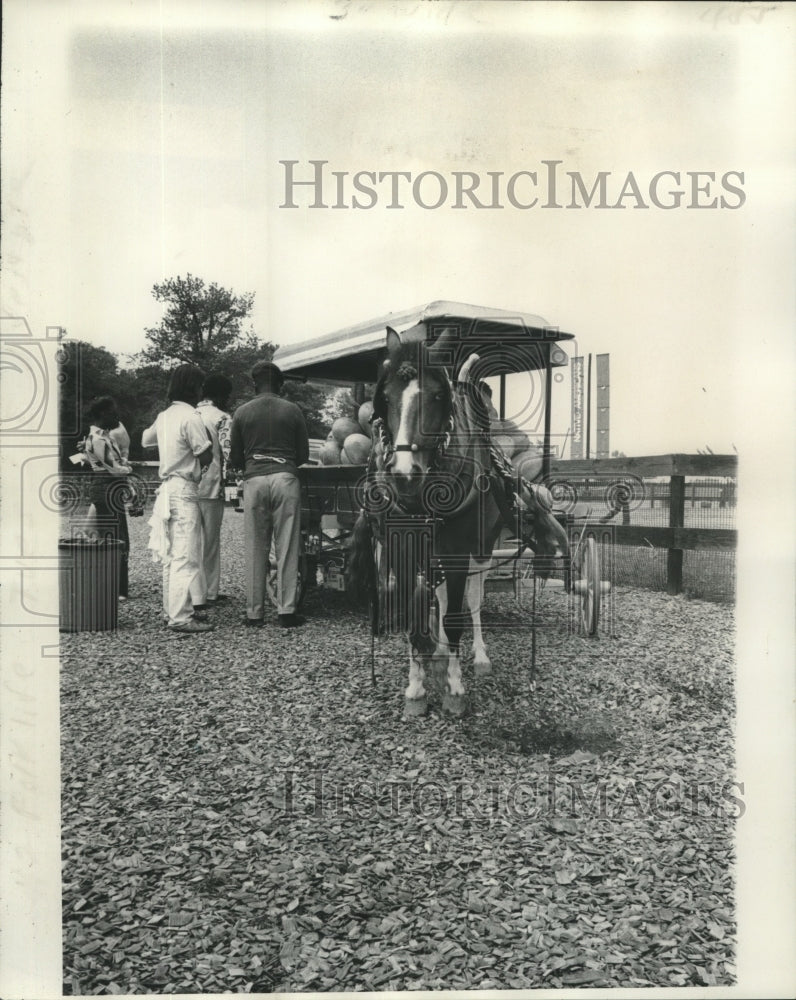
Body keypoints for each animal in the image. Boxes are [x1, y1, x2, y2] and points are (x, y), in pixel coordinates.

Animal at [346, 324, 564, 716]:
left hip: (479, 548)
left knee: (471, 600)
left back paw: (475, 657)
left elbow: (454, 617)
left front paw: (455, 687)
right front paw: (417, 687)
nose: (404, 474)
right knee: (443, 595)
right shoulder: (403, 549)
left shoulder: (459, 550)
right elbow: (416, 614)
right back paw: (440, 654)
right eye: (384, 396)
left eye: (436, 396)